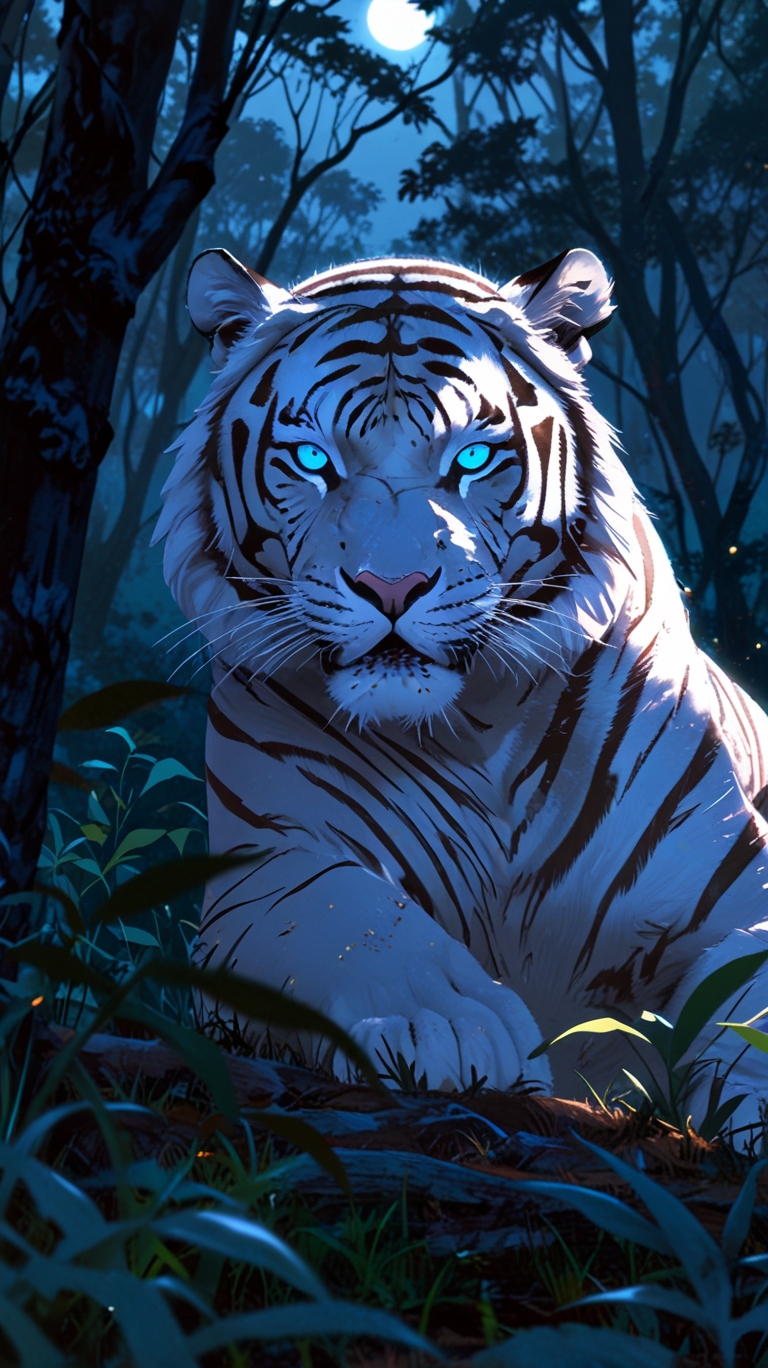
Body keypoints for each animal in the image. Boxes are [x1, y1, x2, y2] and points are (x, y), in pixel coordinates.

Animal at [154, 245, 768, 1124]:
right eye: (313, 461)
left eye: (471, 459)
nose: (392, 586)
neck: (476, 726)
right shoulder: (261, 867)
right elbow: (348, 912)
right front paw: (448, 1025)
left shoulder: (735, 881)